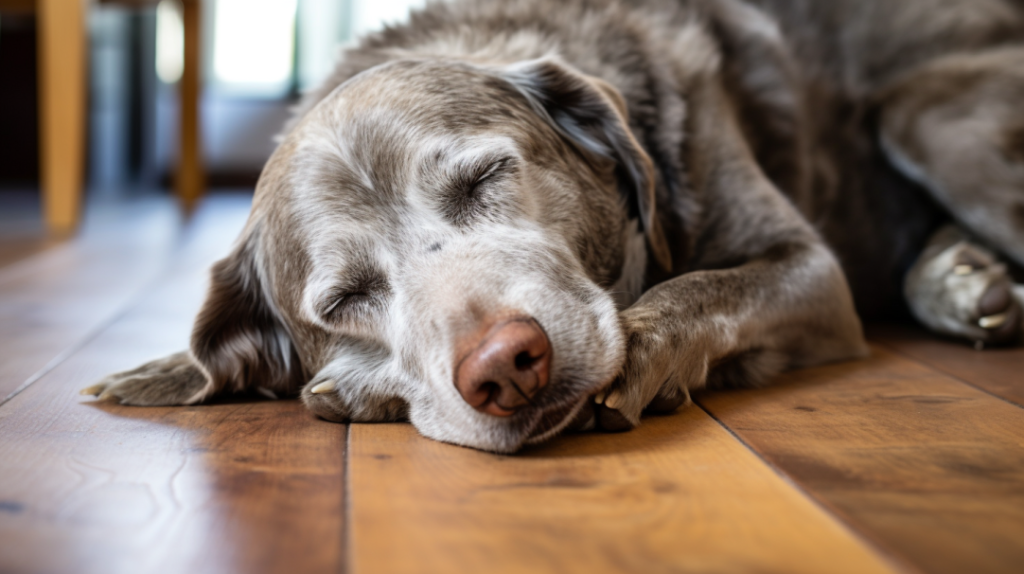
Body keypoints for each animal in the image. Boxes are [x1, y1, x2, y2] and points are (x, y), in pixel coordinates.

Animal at [86, 0, 1024, 452]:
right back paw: (963, 280)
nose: (506, 366)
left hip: (928, 118)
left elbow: (701, 289)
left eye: (486, 177)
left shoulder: (808, 270)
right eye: (344, 299)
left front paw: (644, 355)